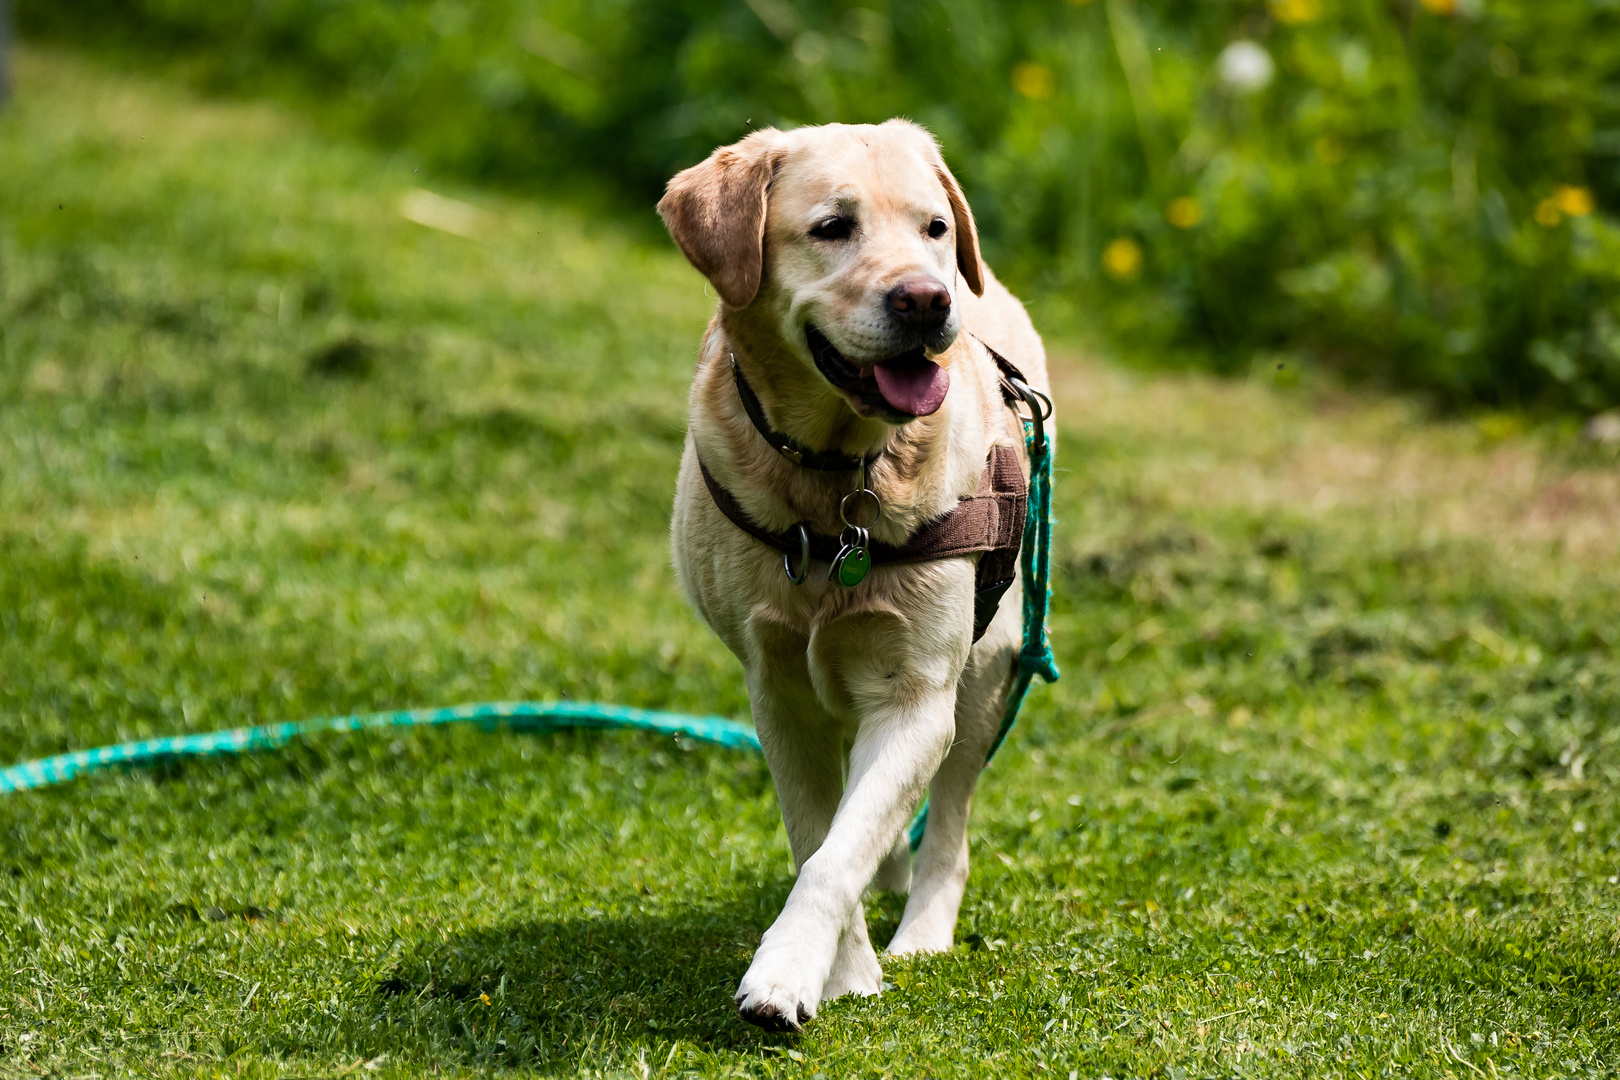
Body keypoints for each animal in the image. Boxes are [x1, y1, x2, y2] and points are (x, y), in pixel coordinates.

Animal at [657, 118, 1049, 1029]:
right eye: (833, 227)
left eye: (934, 228)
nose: (929, 300)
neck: (838, 480)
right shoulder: (778, 692)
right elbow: (819, 834)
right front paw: (846, 971)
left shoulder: (918, 696)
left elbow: (840, 851)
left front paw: (791, 971)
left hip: (988, 673)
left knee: (948, 824)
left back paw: (925, 929)